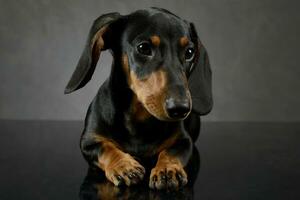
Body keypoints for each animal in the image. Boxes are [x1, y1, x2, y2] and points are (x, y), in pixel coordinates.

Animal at [64, 7, 212, 190]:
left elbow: (171, 152)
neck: (139, 120)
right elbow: (105, 148)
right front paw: (124, 166)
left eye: (190, 52)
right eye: (144, 48)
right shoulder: (88, 141)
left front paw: (167, 169)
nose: (180, 109)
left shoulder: (184, 141)